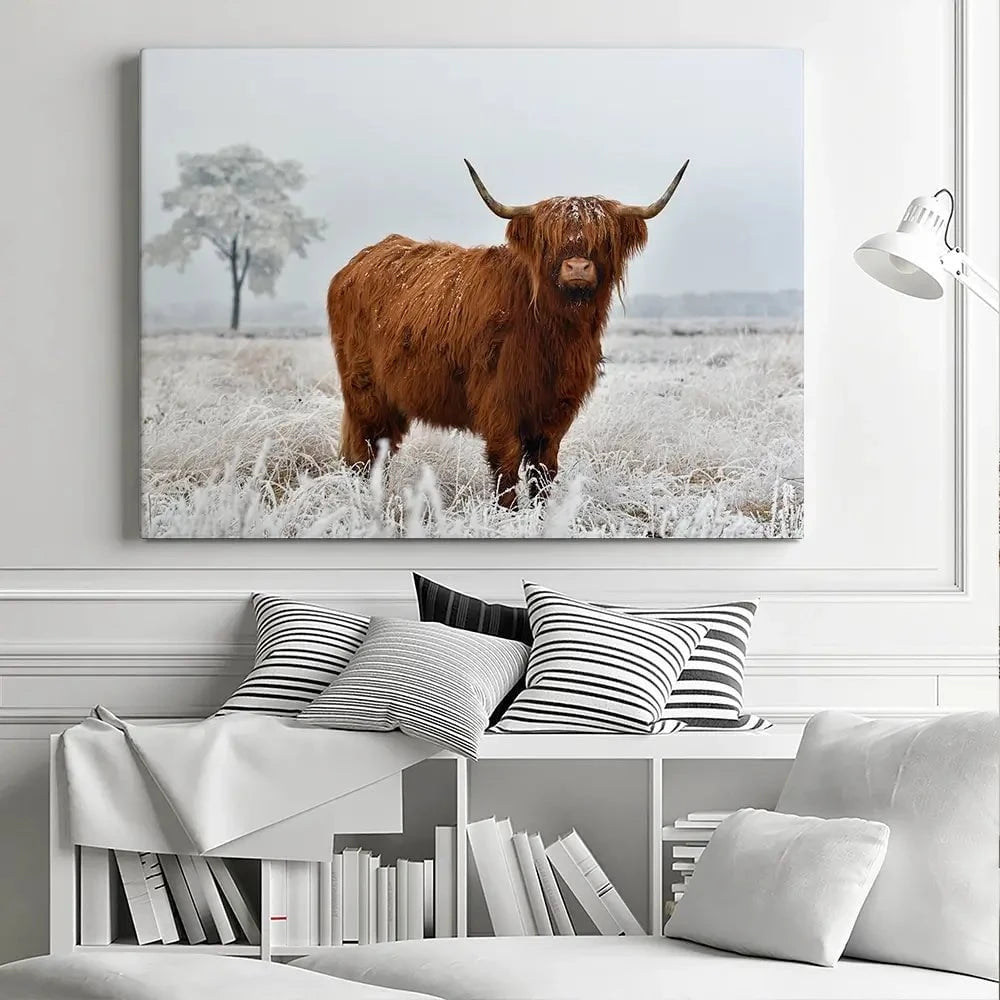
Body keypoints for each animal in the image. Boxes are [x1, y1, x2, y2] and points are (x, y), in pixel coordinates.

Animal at [327, 159, 689, 507]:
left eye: (603, 238)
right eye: (548, 239)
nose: (577, 267)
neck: (555, 333)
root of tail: (357, 263)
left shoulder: (557, 410)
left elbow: (544, 470)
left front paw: (542, 514)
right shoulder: (499, 403)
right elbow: (506, 466)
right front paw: (509, 514)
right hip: (365, 393)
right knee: (365, 451)